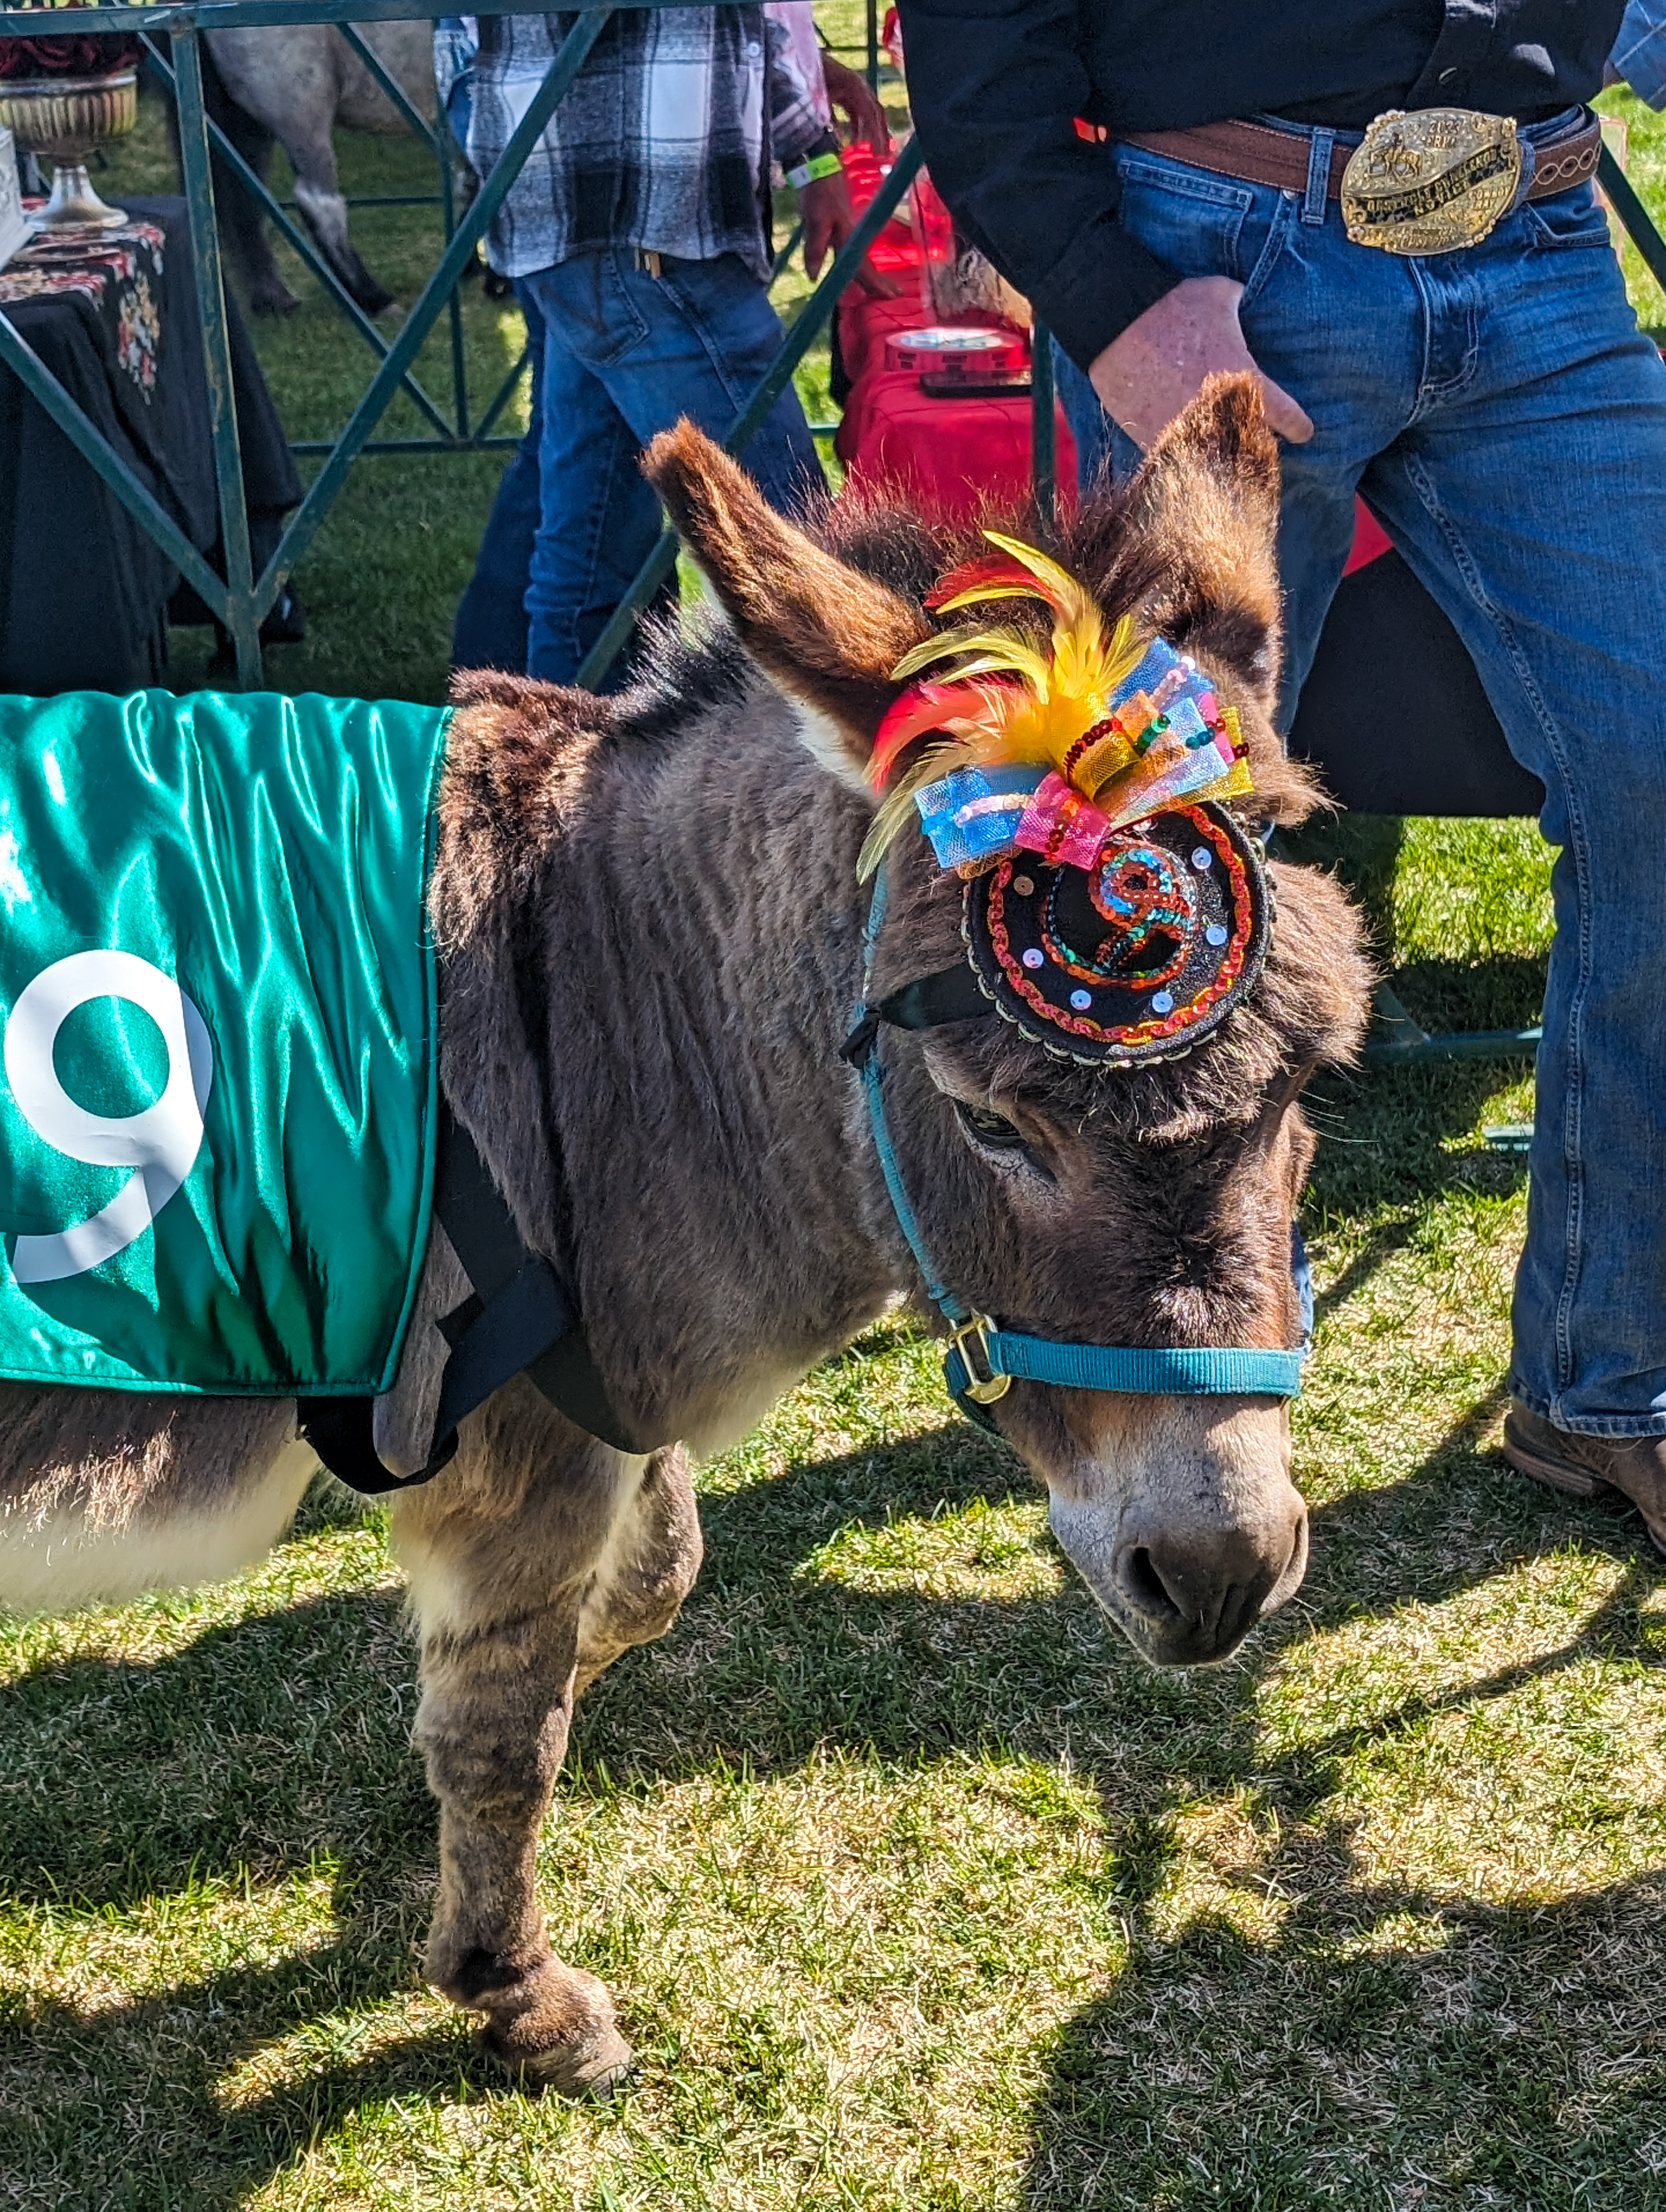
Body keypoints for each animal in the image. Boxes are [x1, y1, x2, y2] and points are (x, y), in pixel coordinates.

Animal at [0, 380, 1370, 2093]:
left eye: (1309, 1078)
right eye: (990, 1123)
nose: (1222, 1576)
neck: (592, 987)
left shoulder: (600, 1388)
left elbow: (649, 1578)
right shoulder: (514, 1446)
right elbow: (504, 1729)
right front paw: (512, 1991)